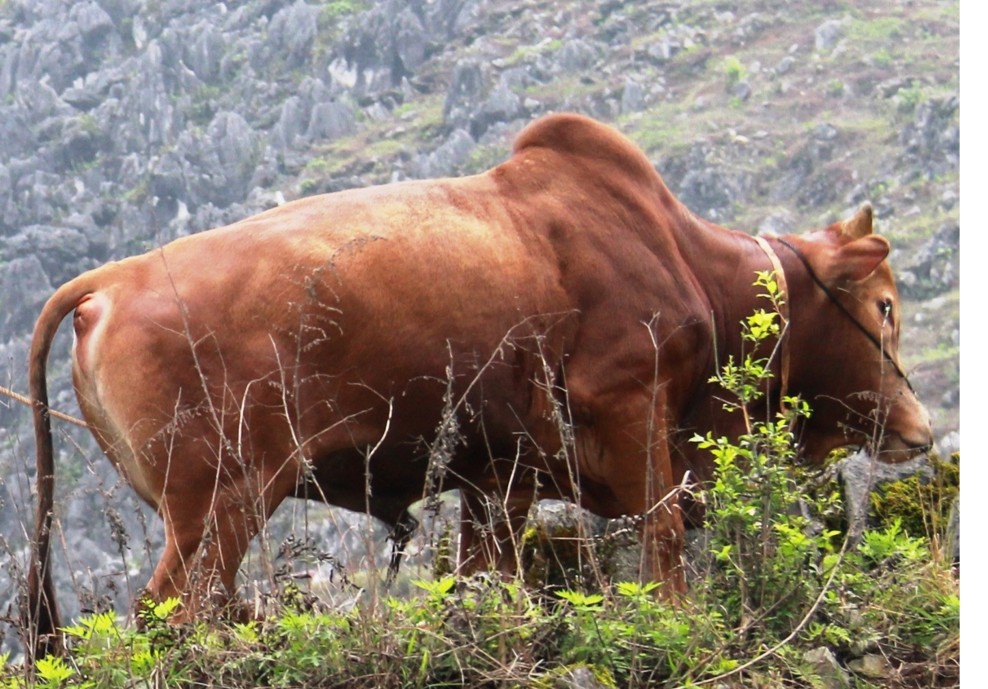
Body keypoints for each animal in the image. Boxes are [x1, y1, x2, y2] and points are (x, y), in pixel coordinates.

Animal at [25, 112, 932, 660]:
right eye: (884, 305)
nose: (922, 430)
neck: (688, 261)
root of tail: (112, 279)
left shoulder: (502, 478)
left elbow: (488, 582)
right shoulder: (631, 410)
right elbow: (666, 534)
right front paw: (677, 622)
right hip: (221, 502)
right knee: (172, 614)